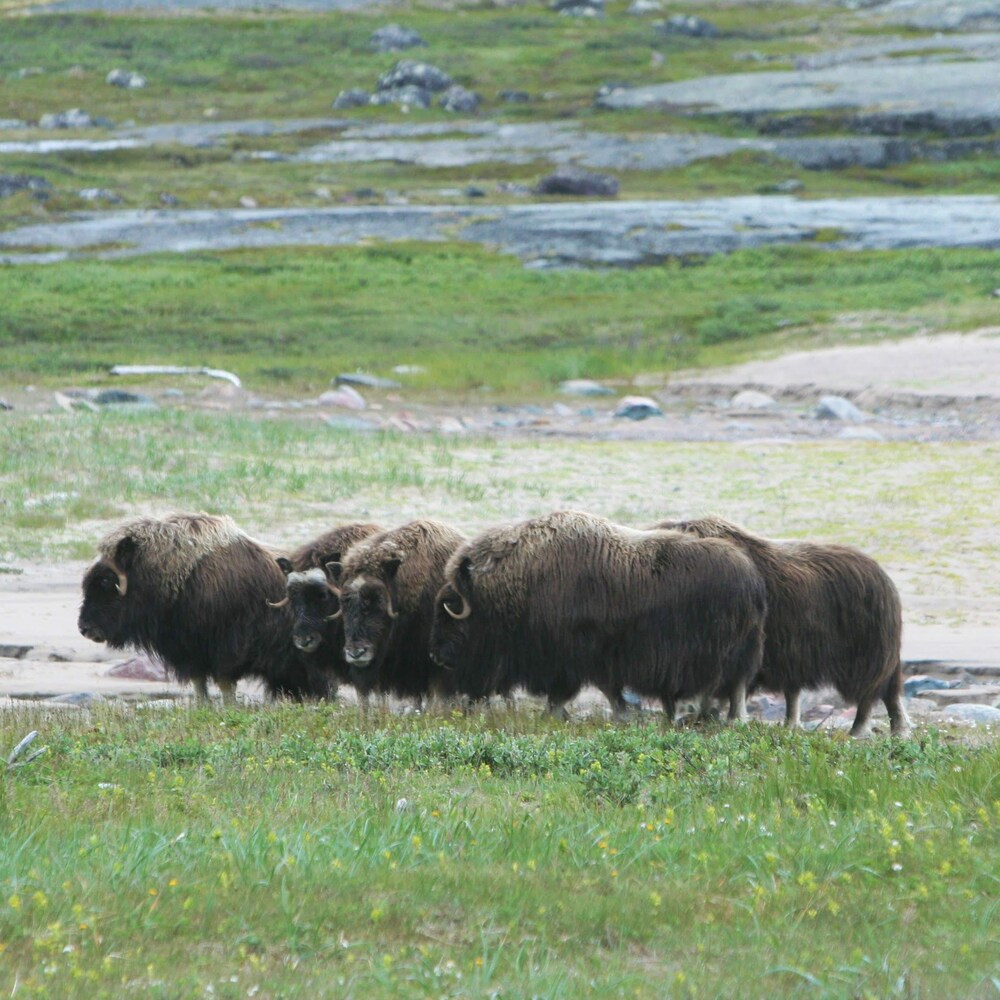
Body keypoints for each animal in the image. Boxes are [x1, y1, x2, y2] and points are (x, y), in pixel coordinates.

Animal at [79, 516, 328, 704]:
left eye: (105, 580)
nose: (84, 628)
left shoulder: (226, 649)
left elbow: (225, 683)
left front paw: (229, 708)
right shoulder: (190, 651)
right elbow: (199, 684)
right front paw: (202, 707)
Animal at [430, 516, 764, 720]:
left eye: (451, 610)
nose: (436, 657)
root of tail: (751, 575)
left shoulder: (573, 658)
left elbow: (573, 691)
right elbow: (607, 690)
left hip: (723, 655)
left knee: (730, 690)